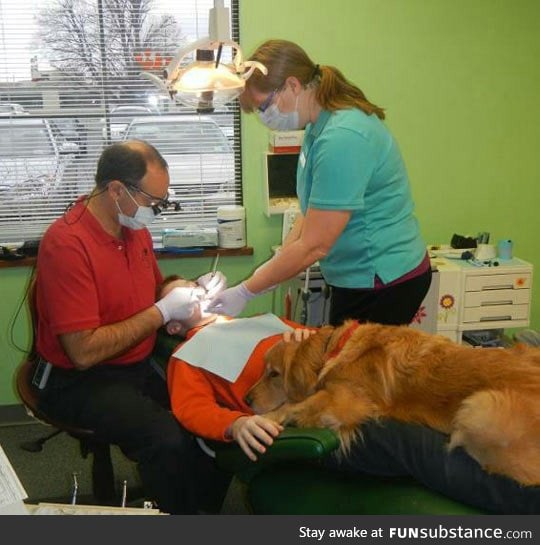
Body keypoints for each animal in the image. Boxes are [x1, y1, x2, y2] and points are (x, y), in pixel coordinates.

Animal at [245, 318, 540, 484]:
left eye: (274, 374)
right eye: (264, 371)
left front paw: (265, 418)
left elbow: (295, 404)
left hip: (479, 406)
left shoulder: (345, 401)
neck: (336, 348)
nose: (246, 399)